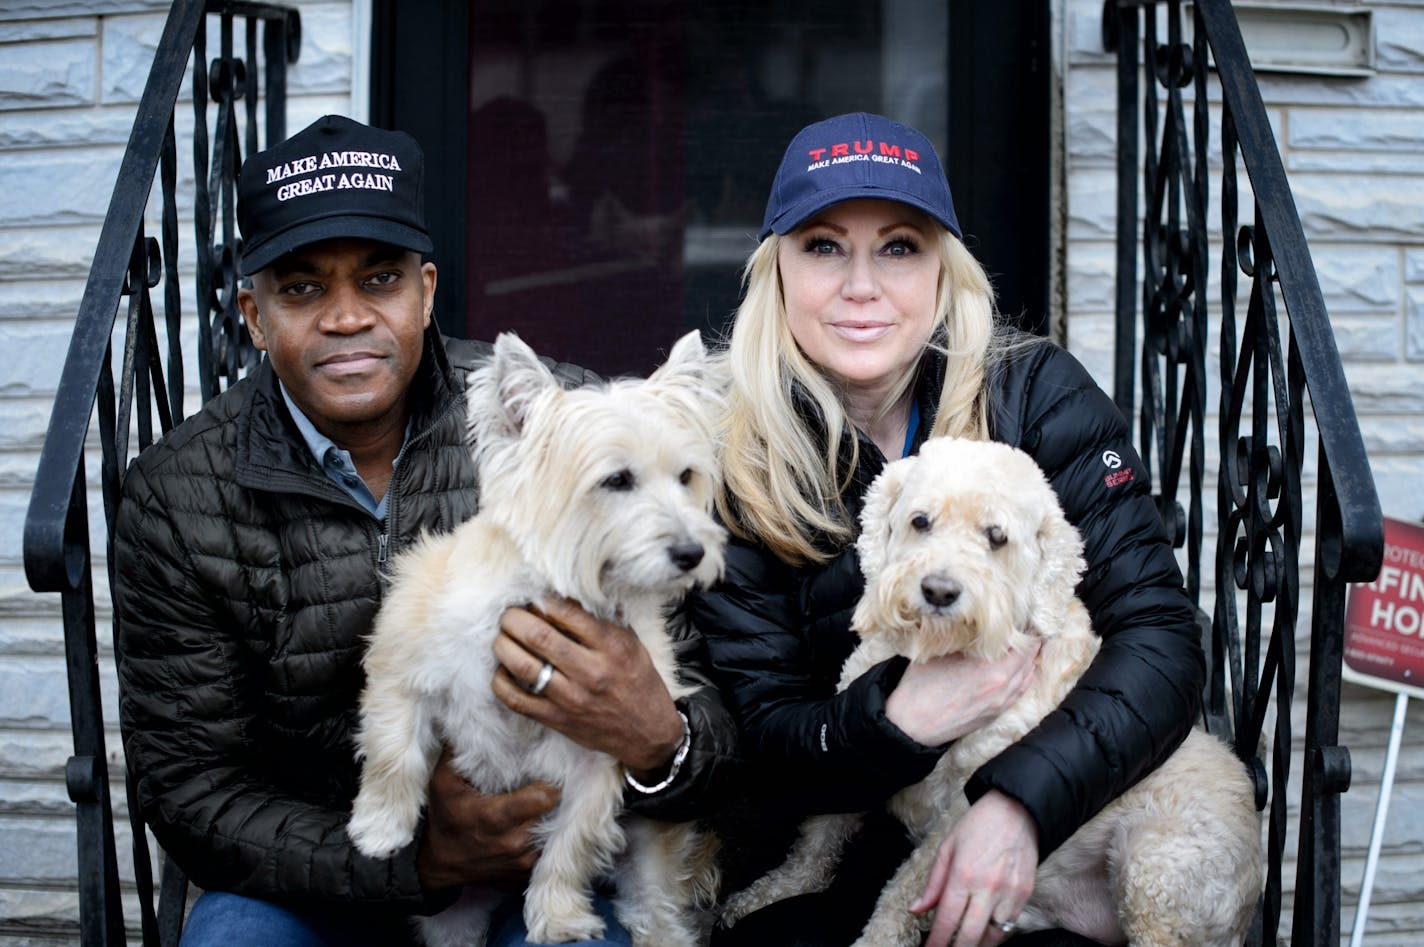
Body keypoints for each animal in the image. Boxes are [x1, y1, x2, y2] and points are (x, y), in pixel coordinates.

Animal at [346, 330, 723, 945]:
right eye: (617, 480)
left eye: (686, 477)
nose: (692, 553)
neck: (544, 592)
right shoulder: (404, 669)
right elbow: (392, 751)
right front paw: (380, 827)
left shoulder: (602, 753)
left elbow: (571, 844)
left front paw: (557, 915)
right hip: (453, 917)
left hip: (649, 863)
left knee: (656, 912)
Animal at [729, 438, 1264, 945]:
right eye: (921, 521)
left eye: (996, 537)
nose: (939, 590)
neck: (936, 651)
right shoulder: (862, 756)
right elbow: (818, 835)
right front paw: (774, 891)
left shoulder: (964, 811)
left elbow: (906, 889)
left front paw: (878, 938)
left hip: (1155, 867)